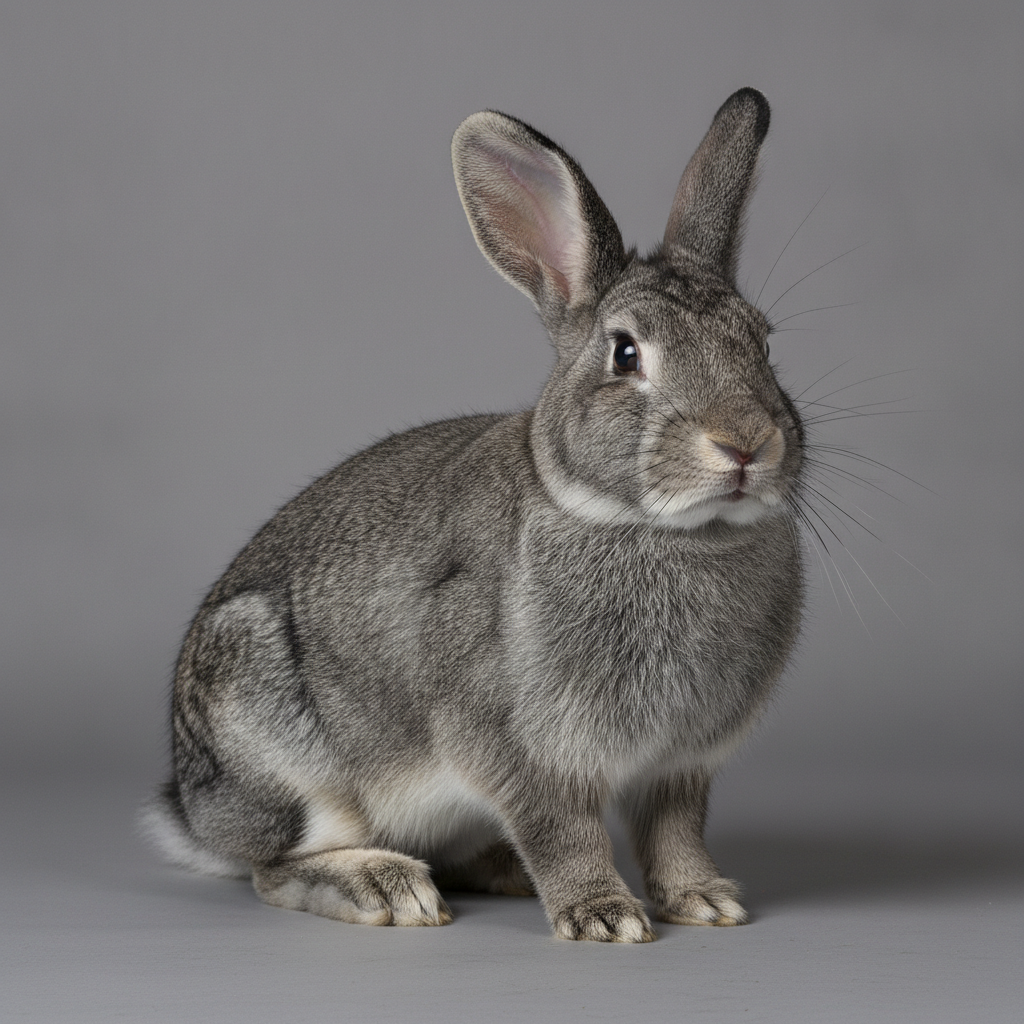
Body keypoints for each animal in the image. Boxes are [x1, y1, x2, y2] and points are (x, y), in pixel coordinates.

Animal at [142, 87, 805, 942]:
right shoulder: (513, 745)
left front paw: (705, 900)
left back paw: (496, 872)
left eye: (763, 343)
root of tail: (194, 811)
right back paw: (387, 888)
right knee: (275, 867)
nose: (746, 442)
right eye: (626, 354)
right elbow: (562, 830)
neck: (662, 531)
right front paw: (603, 916)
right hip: (281, 749)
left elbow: (674, 831)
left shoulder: (682, 766)